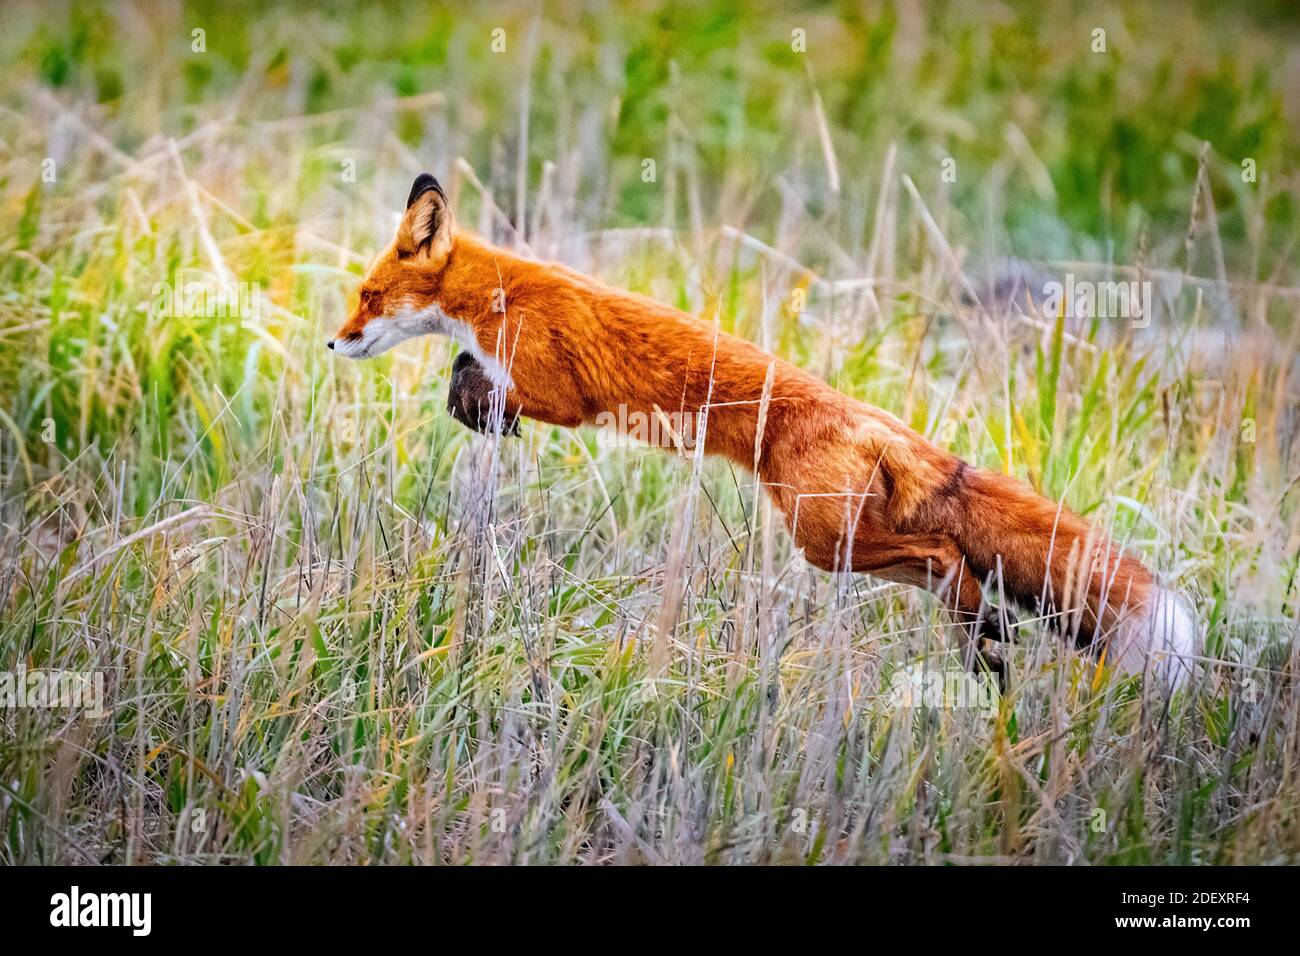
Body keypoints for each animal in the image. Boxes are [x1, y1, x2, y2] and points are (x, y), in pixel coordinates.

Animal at [332, 175, 1196, 686]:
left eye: (369, 296)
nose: (335, 344)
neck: (499, 292)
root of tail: (876, 418)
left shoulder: (559, 389)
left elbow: (494, 388)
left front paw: (482, 408)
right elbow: (466, 379)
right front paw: (475, 405)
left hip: (825, 540)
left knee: (947, 554)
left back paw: (982, 632)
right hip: (843, 543)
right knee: (959, 573)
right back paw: (984, 639)